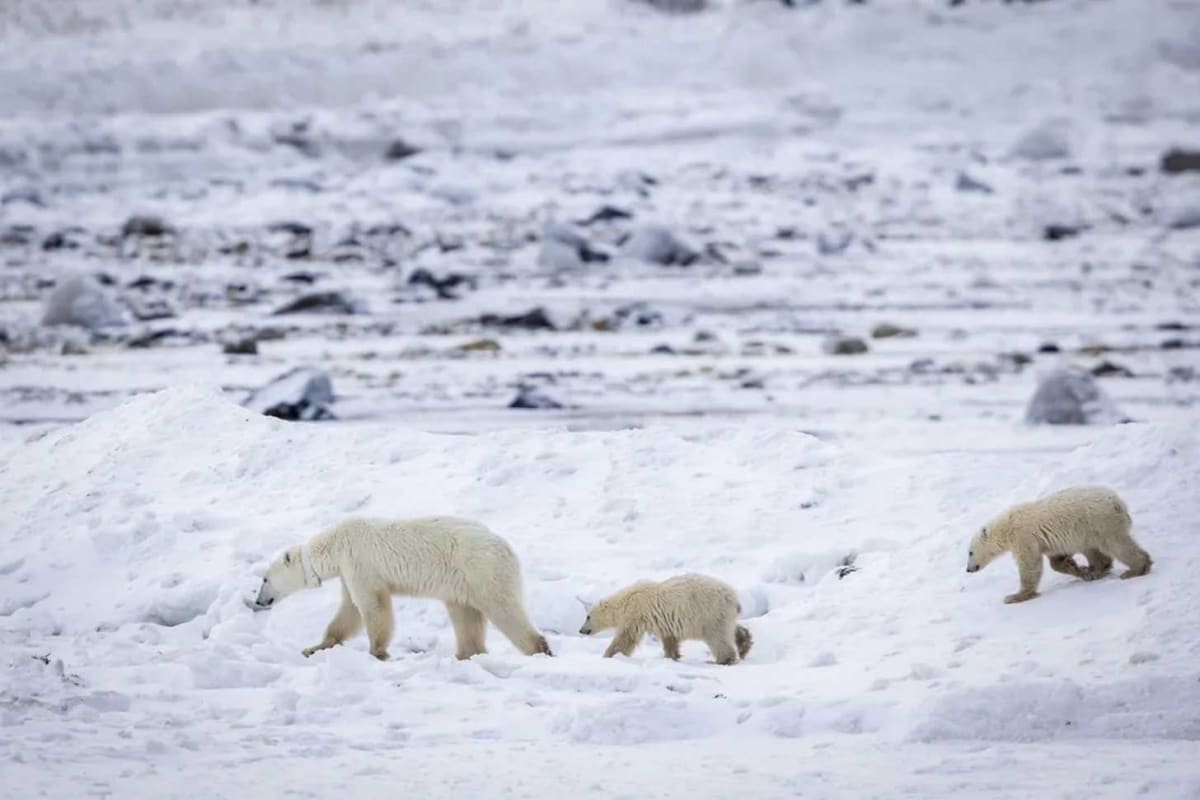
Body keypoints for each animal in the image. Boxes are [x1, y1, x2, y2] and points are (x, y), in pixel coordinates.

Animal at [253, 516, 552, 661]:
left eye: (264, 579)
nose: (258, 601)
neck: (335, 542)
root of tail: (505, 547)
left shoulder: (359, 561)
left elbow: (372, 606)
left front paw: (377, 652)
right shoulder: (349, 572)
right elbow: (349, 612)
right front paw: (314, 647)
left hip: (480, 569)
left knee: (503, 608)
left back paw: (539, 649)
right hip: (461, 582)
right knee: (466, 616)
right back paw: (466, 654)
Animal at [578, 574, 752, 665]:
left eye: (588, 616)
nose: (581, 630)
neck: (624, 601)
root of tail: (733, 598)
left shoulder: (635, 615)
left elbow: (625, 638)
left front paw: (608, 656)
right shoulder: (665, 622)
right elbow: (670, 639)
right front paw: (672, 656)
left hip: (709, 612)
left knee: (717, 637)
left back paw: (724, 659)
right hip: (720, 615)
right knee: (729, 628)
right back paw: (744, 642)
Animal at [965, 485, 1152, 604]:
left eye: (970, 552)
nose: (968, 569)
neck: (1007, 526)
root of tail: (1118, 502)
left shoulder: (1024, 537)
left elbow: (1030, 565)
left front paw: (1015, 596)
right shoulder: (1048, 541)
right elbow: (1056, 560)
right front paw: (1078, 569)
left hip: (1100, 522)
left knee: (1116, 544)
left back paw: (1135, 569)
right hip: (1089, 529)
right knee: (1093, 549)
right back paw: (1095, 570)